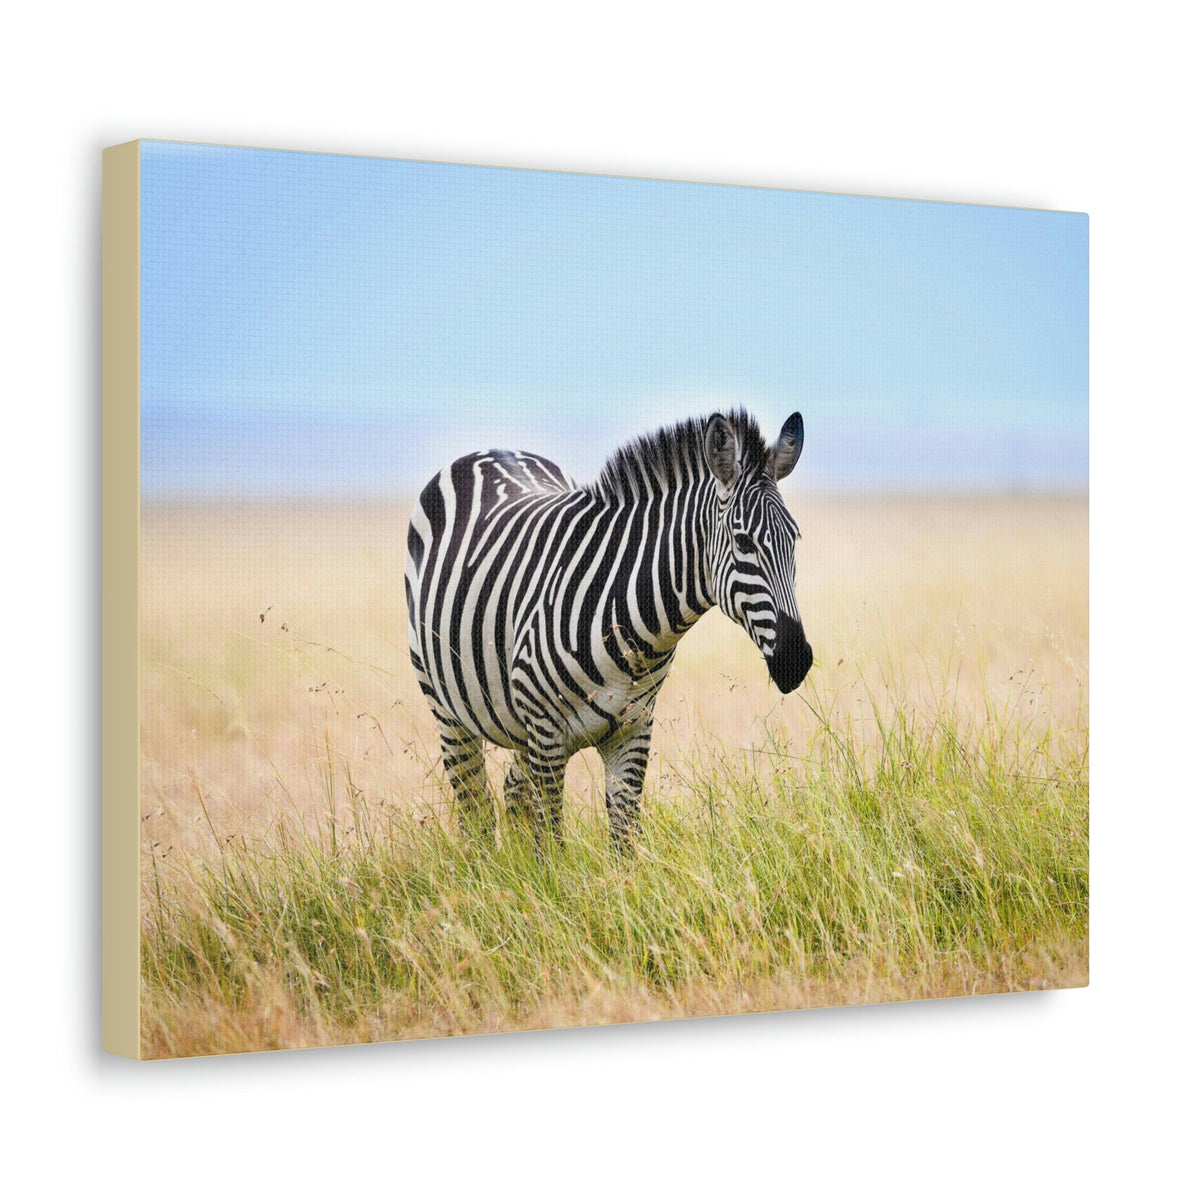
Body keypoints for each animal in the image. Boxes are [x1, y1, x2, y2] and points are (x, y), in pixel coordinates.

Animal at [404, 409, 813, 852]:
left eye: (796, 539)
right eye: (743, 542)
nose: (796, 661)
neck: (634, 631)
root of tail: (490, 449)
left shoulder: (633, 731)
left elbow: (623, 842)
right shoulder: (547, 734)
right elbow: (551, 844)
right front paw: (547, 871)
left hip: (519, 722)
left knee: (513, 792)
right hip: (449, 710)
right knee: (475, 808)